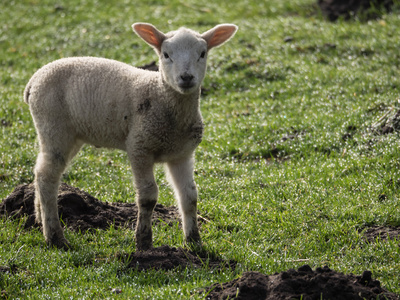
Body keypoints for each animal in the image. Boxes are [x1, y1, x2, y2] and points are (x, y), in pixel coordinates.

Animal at [23, 22, 238, 250]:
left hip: (70, 135)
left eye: (203, 53)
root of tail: (33, 81)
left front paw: (194, 242)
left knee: (41, 171)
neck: (161, 97)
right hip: (53, 125)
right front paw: (143, 241)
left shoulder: (182, 154)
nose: (186, 78)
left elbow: (189, 196)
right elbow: (148, 197)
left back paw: (39, 220)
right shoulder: (139, 146)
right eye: (166, 54)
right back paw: (55, 237)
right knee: (47, 176)